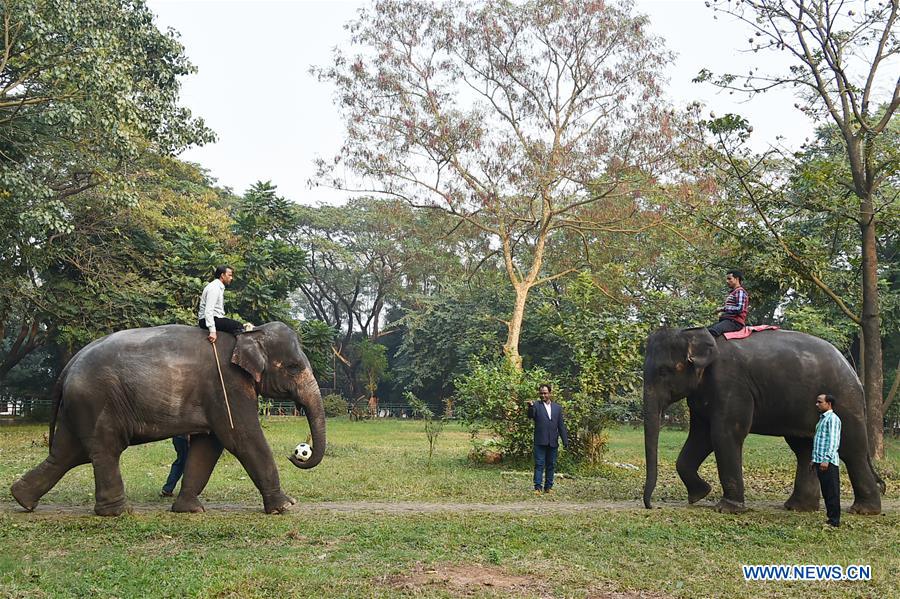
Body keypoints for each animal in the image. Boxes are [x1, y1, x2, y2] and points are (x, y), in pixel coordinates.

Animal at [10, 324, 326, 516]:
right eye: (294, 367)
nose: (297, 453)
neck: (248, 335)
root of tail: (70, 365)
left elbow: (209, 446)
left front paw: (189, 509)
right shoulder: (227, 385)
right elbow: (242, 438)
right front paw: (285, 507)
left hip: (77, 405)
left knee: (67, 454)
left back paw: (21, 499)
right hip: (95, 400)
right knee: (103, 451)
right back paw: (119, 512)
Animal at [640, 328, 884, 516]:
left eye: (664, 371)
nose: (650, 506)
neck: (694, 334)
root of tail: (853, 372)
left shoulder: (731, 384)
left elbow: (724, 434)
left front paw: (726, 509)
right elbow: (701, 437)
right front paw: (700, 494)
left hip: (845, 400)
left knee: (851, 450)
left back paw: (863, 511)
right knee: (803, 448)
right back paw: (798, 507)